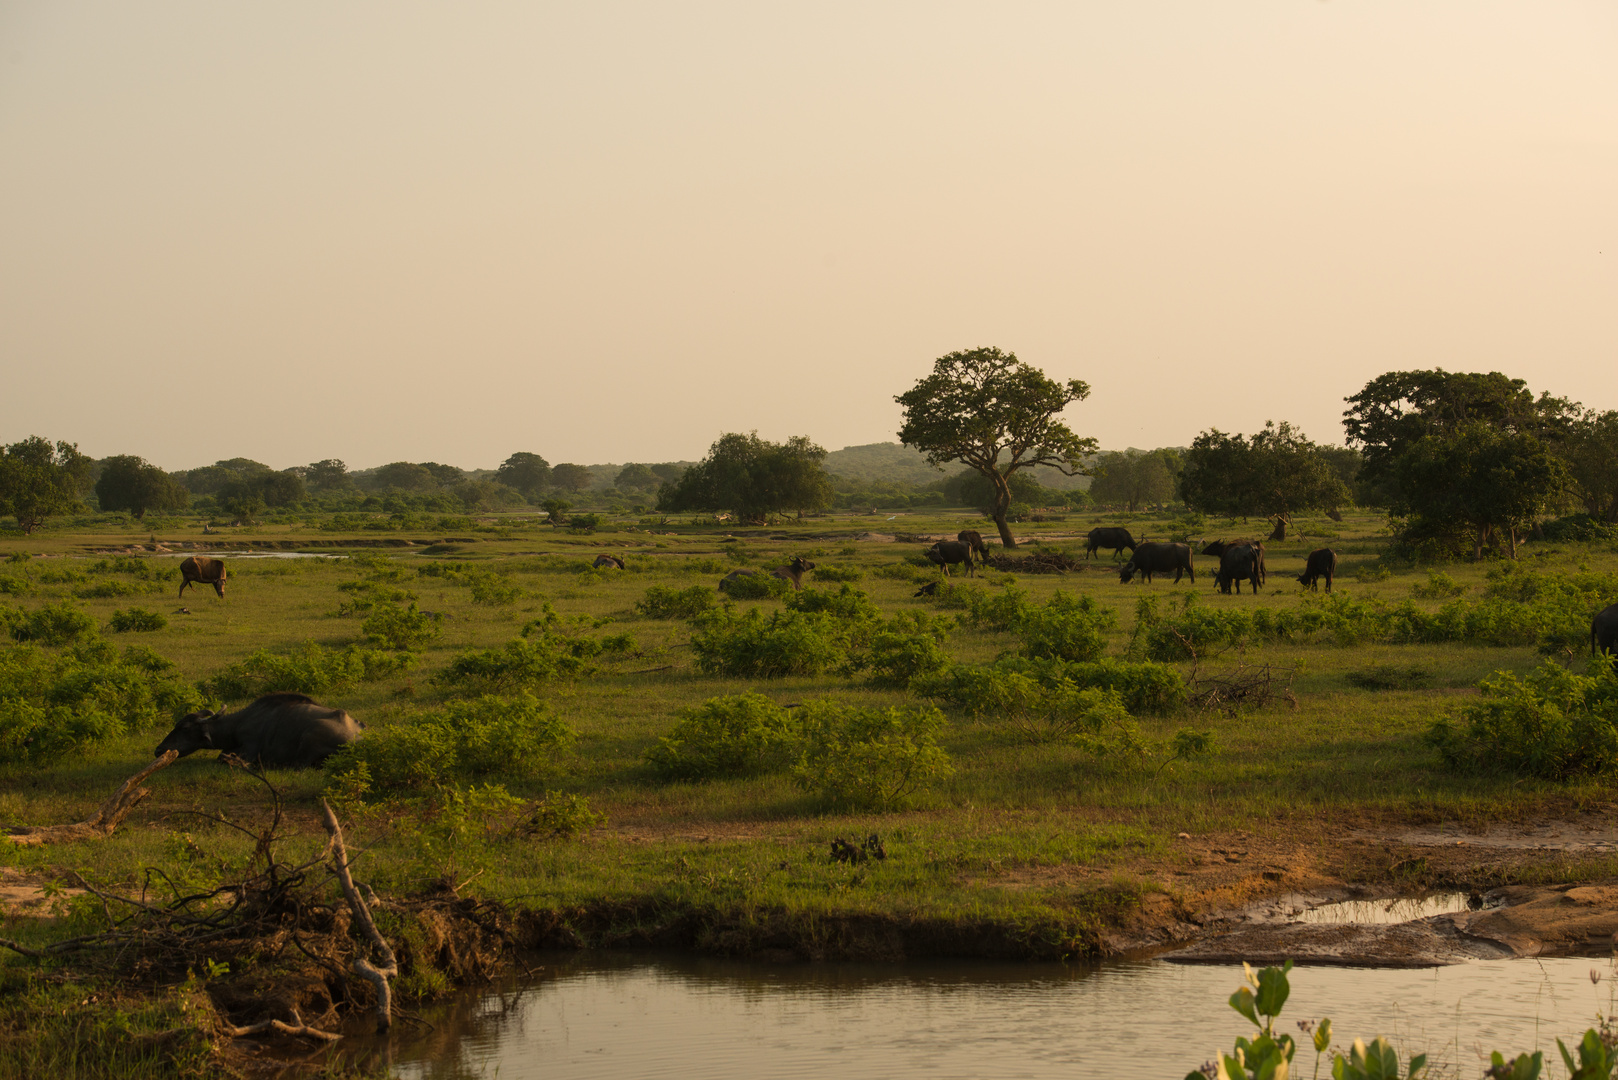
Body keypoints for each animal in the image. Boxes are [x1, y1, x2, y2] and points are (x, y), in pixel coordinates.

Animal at [152, 693, 364, 767]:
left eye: (184, 727)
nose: (159, 750)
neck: (237, 725)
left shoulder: (250, 748)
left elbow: (222, 757)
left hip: (309, 736)